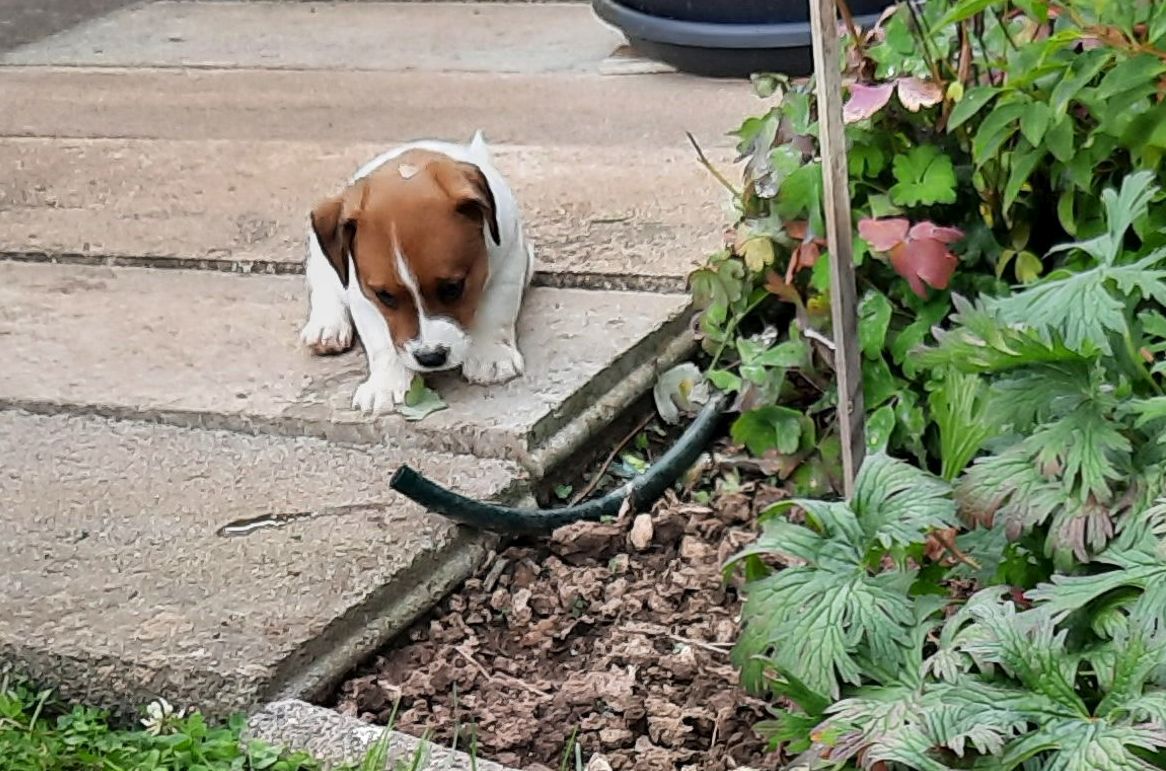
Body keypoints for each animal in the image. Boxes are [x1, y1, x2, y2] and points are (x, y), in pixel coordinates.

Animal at [300, 132, 536, 412]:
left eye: (453, 288)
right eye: (385, 296)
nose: (430, 358)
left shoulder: (509, 261)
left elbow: (496, 312)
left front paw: (491, 355)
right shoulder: (363, 294)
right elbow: (380, 340)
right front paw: (387, 382)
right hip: (321, 259)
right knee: (324, 288)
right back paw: (327, 326)